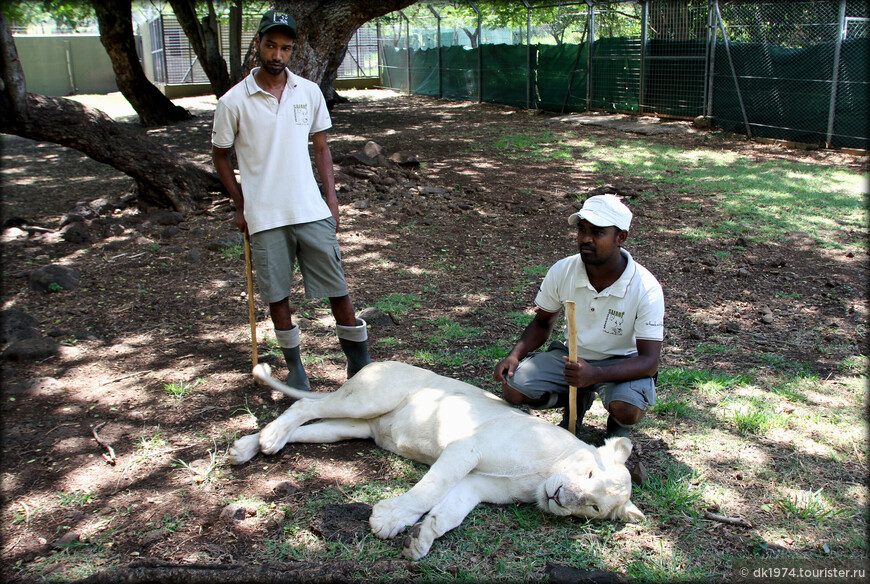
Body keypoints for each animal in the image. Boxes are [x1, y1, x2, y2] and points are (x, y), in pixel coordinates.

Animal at [228, 360, 644, 556]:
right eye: (588, 474)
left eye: (592, 508)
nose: (562, 498)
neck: (541, 477)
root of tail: (377, 364)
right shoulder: (466, 449)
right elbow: (431, 488)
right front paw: (390, 519)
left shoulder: (477, 485)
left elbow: (449, 511)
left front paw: (420, 540)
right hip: (368, 398)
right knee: (304, 406)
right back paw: (267, 439)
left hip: (352, 426)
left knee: (307, 425)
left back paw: (249, 445)